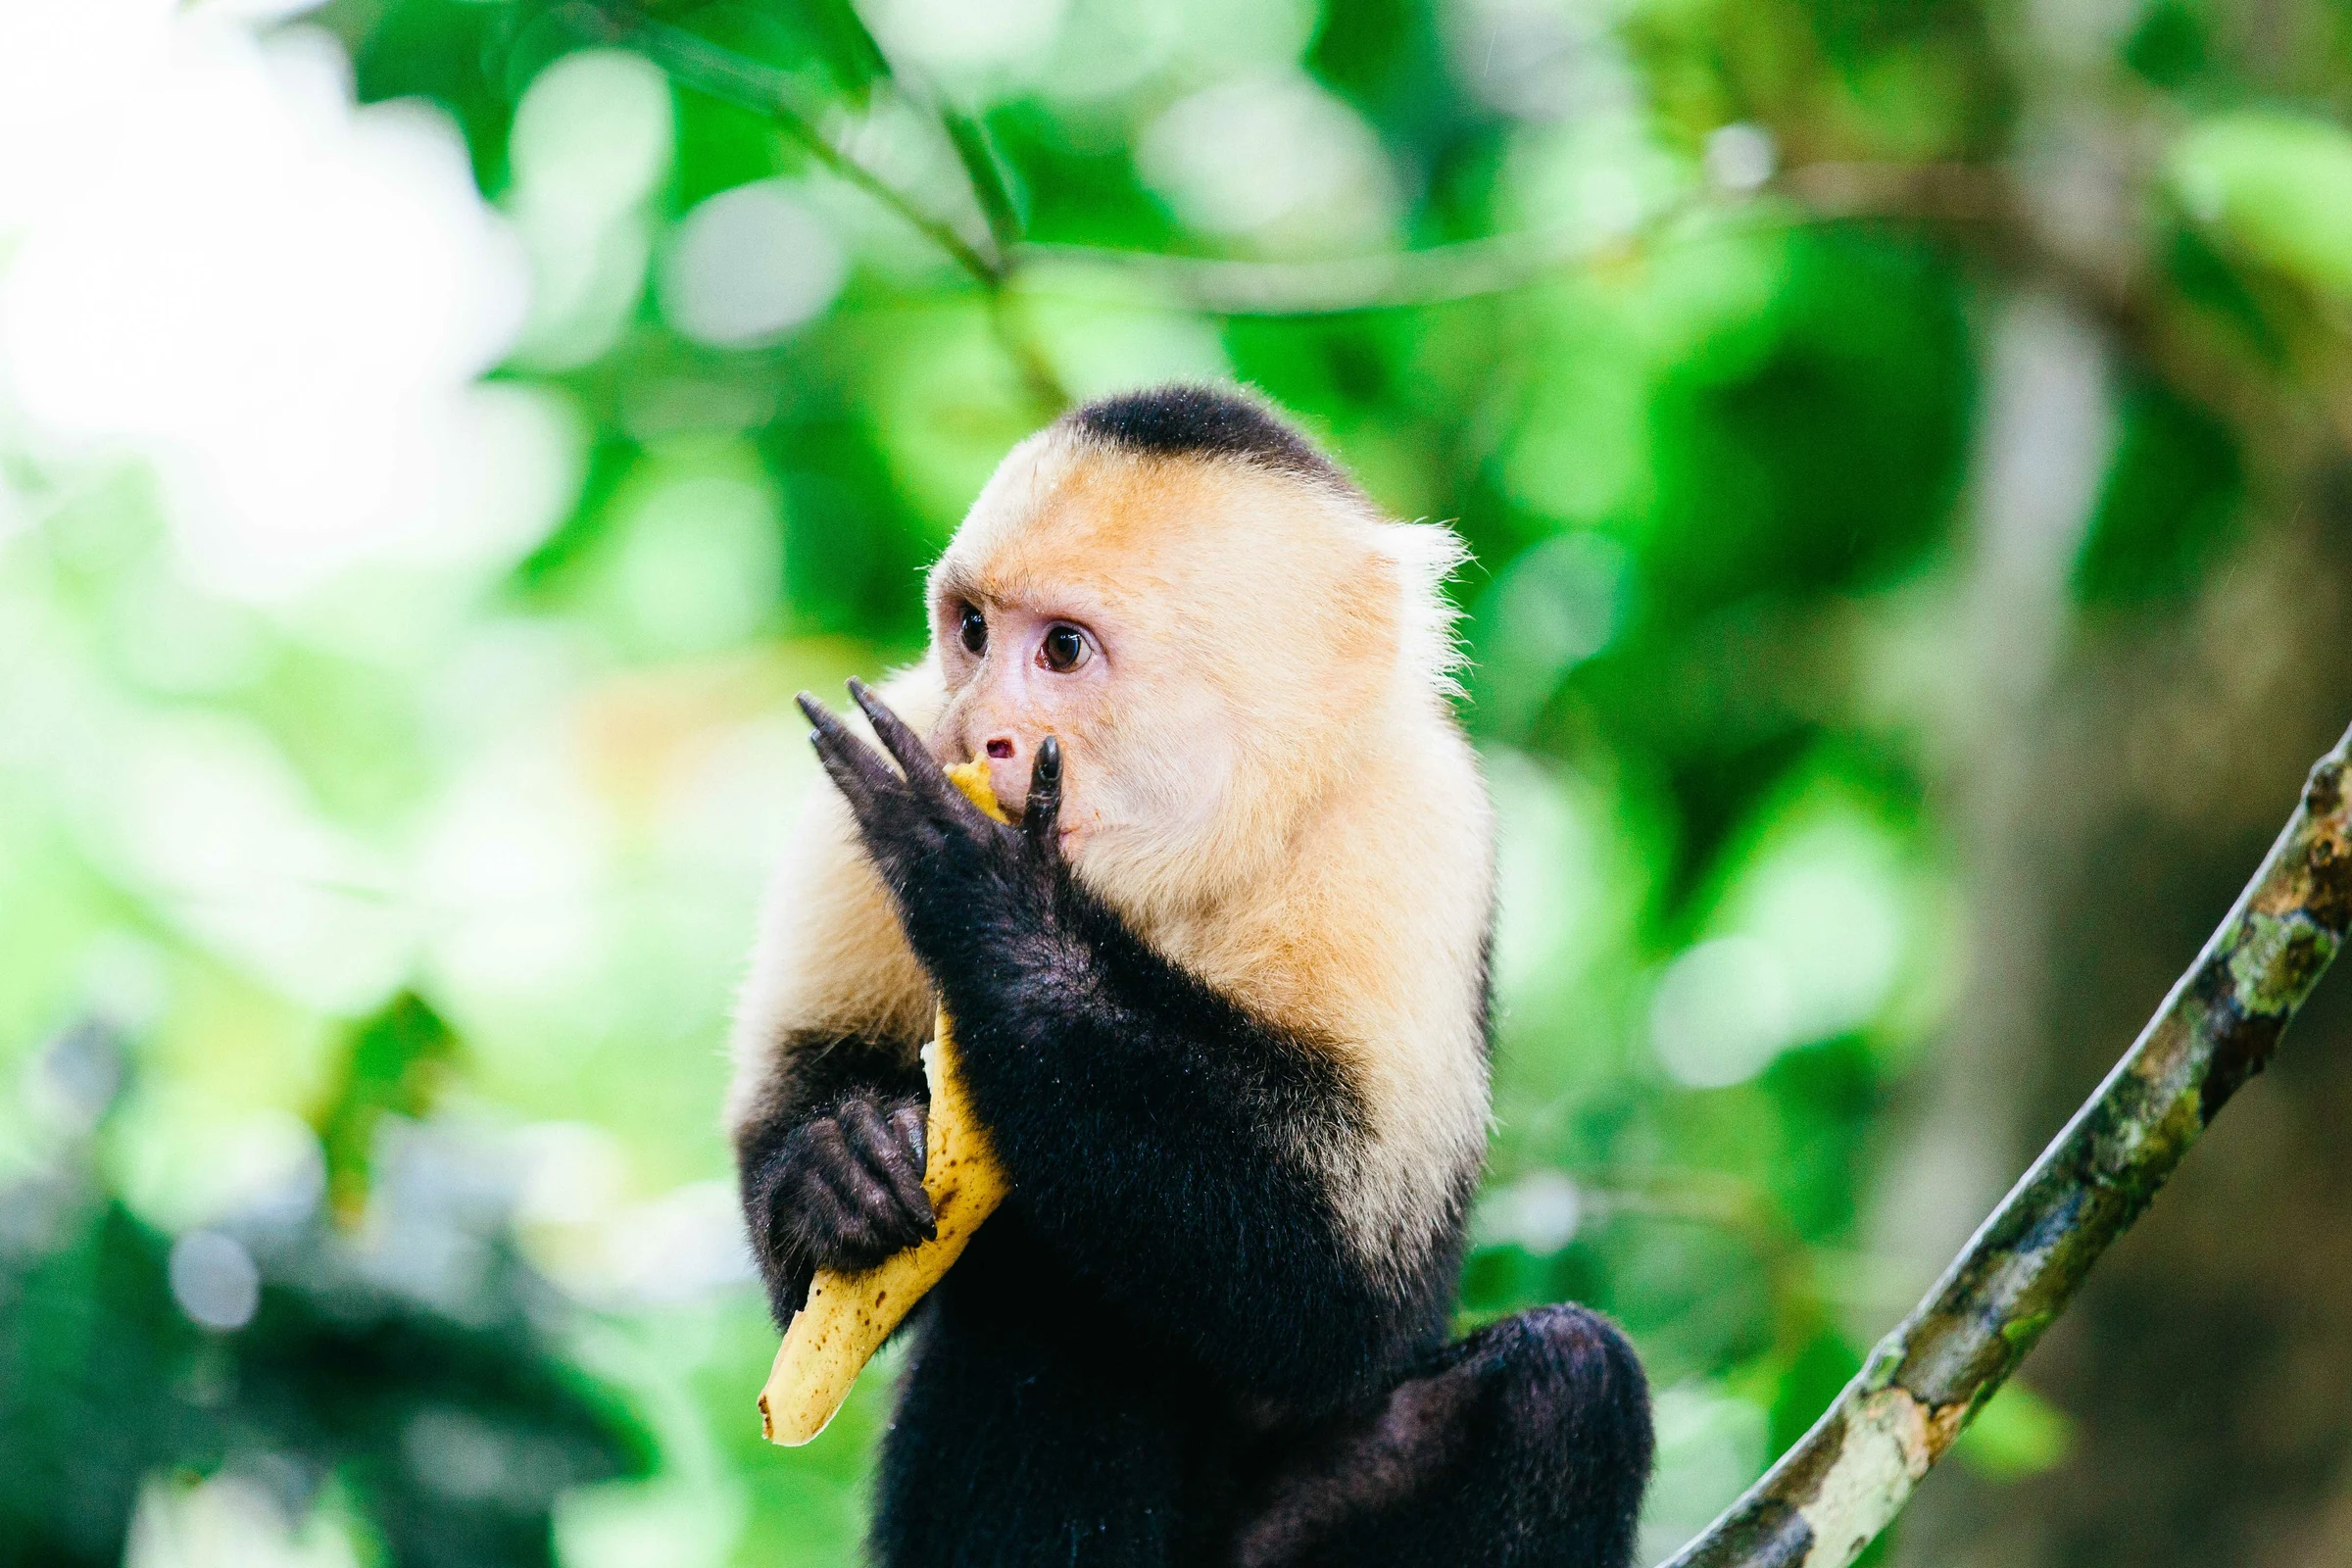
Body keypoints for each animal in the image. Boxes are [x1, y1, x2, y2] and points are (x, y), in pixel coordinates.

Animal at [726, 385, 1652, 1567]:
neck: (1165, 876)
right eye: (973, 631)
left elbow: (1339, 1290)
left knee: (1566, 1381)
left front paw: (995, 904)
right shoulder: (897, 742)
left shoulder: (1409, 830)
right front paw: (836, 1160)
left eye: (1063, 649)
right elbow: (801, 1215)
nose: (981, 733)